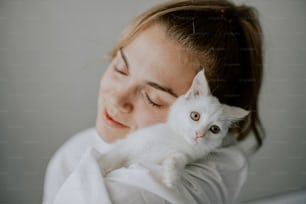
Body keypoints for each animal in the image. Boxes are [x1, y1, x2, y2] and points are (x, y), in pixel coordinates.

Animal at [98, 70, 249, 188]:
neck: (176, 139)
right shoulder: (131, 143)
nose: (199, 134)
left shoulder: (186, 155)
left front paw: (170, 176)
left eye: (215, 129)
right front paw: (101, 167)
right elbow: (115, 154)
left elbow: (178, 159)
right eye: (195, 116)